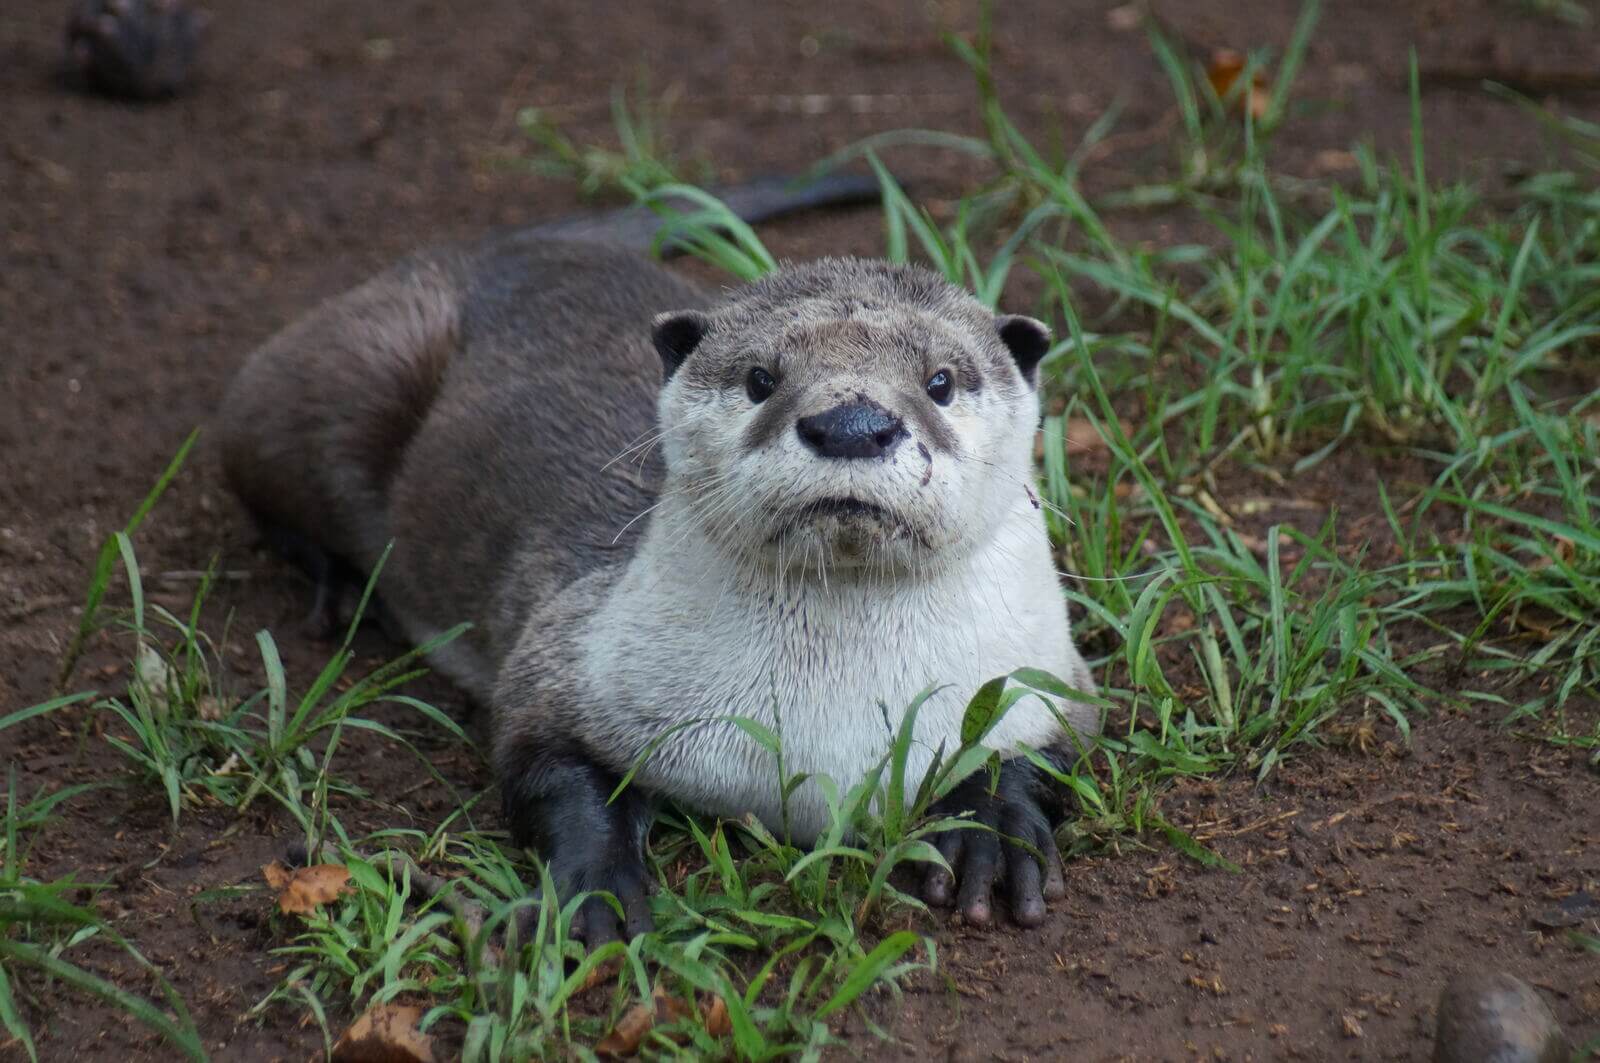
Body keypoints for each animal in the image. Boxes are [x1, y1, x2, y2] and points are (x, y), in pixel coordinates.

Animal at [219, 177, 1100, 943]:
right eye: (760, 377)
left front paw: (997, 834)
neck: (828, 733)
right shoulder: (571, 654)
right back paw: (338, 583)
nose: (851, 423)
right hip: (339, 377)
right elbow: (543, 759)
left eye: (940, 380)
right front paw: (597, 891)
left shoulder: (1049, 673)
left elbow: (1047, 752)